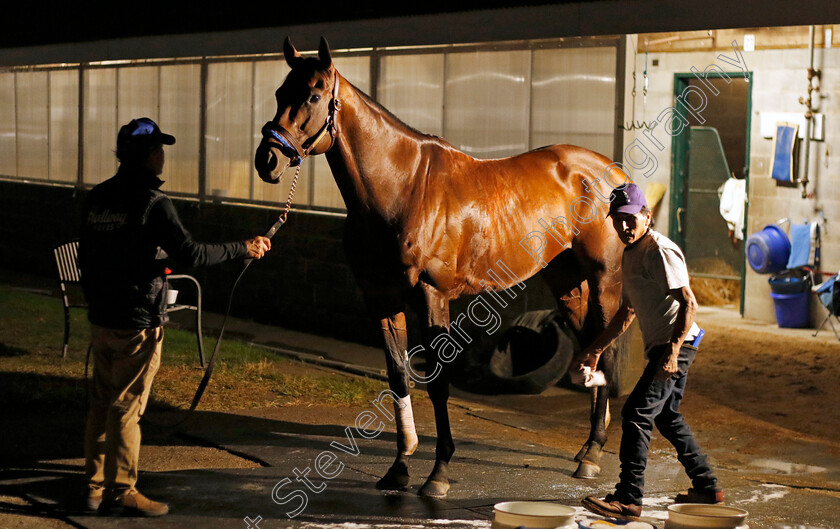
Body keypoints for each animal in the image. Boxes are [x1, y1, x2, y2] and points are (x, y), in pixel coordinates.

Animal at [256, 37, 632, 496]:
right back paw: (588, 447)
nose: (267, 160)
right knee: (591, 345)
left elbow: (437, 382)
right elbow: (398, 377)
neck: (402, 187)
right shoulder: (380, 298)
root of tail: (611, 172)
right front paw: (399, 467)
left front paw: (438, 474)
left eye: (312, 95)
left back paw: (593, 454)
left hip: (604, 278)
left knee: (607, 350)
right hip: (566, 281)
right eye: (279, 93)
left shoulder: (431, 295)